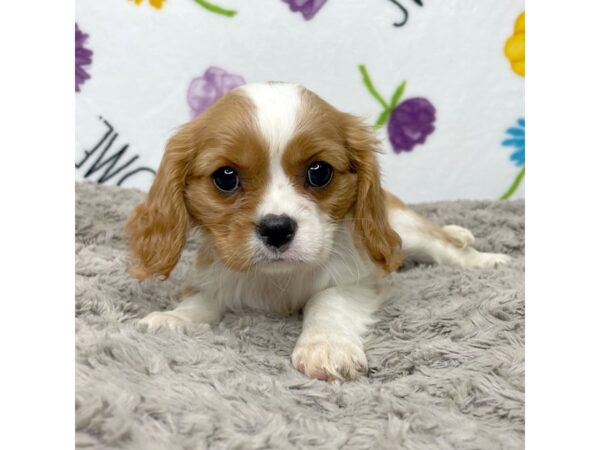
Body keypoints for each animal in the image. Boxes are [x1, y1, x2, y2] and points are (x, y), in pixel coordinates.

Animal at [126, 81, 510, 380]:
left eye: (319, 172)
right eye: (225, 177)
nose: (277, 229)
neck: (277, 279)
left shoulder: (359, 278)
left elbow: (326, 299)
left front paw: (325, 345)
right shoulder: (213, 273)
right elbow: (203, 300)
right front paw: (173, 319)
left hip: (400, 232)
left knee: (444, 245)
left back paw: (485, 259)